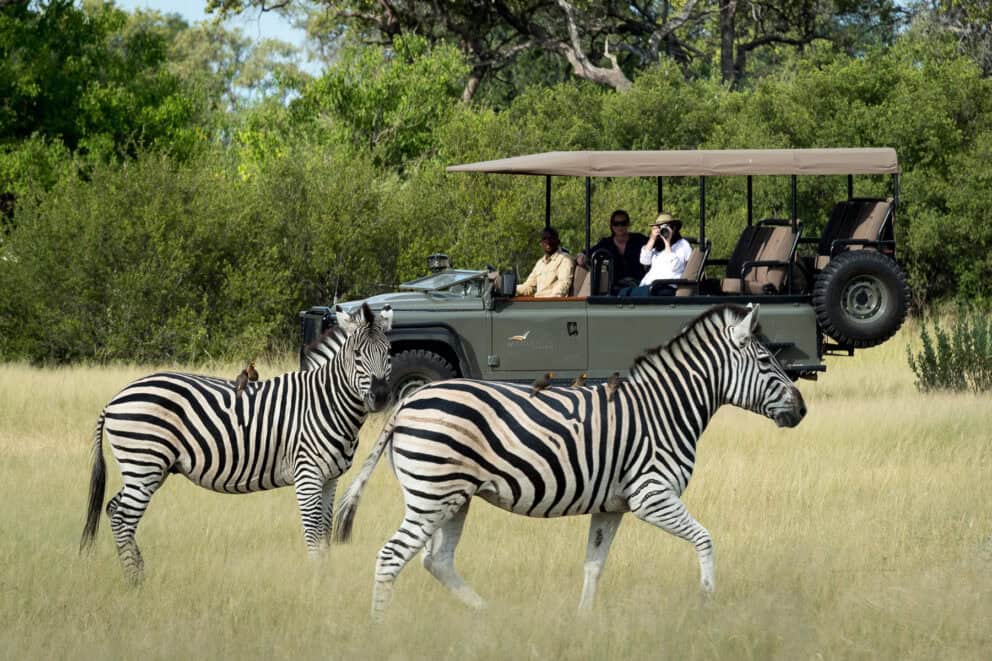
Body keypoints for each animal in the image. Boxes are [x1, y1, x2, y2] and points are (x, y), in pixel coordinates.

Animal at [79, 303, 393, 584]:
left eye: (389, 353)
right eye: (357, 354)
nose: (380, 396)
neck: (325, 403)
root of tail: (115, 399)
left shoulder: (330, 478)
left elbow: (325, 533)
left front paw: (325, 577)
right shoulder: (308, 475)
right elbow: (313, 532)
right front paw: (315, 580)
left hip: (148, 469)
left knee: (114, 509)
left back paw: (140, 572)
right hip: (143, 462)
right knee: (123, 518)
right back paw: (135, 581)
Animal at [333, 304, 806, 619]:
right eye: (766, 361)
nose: (801, 410)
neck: (664, 409)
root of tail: (407, 401)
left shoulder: (611, 505)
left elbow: (594, 565)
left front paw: (584, 623)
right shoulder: (652, 496)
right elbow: (706, 539)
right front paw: (707, 600)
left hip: (452, 498)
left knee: (437, 561)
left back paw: (488, 615)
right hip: (433, 495)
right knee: (391, 557)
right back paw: (381, 629)